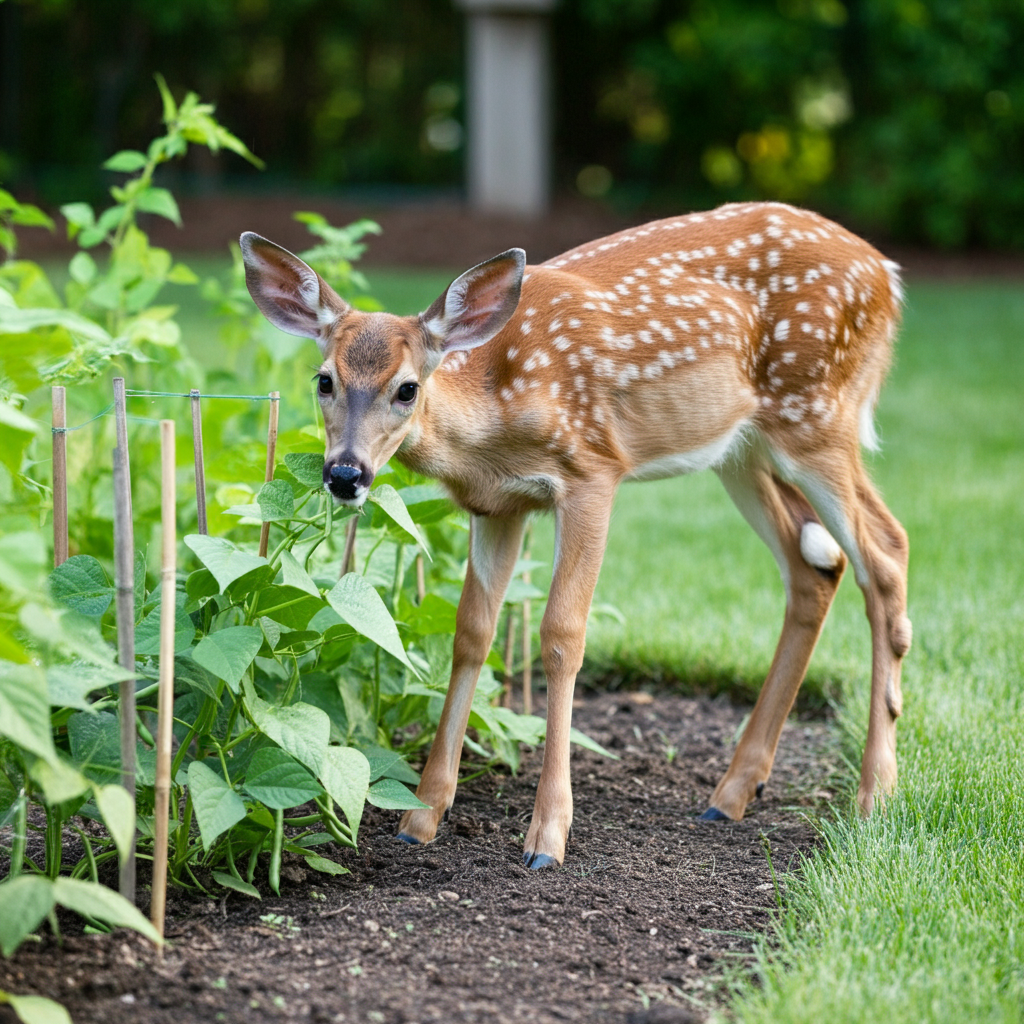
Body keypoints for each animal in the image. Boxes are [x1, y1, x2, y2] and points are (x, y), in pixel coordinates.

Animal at [239, 201, 913, 872]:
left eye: (407, 388)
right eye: (324, 380)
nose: (345, 474)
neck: (493, 414)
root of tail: (888, 273)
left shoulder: (593, 471)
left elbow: (562, 634)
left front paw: (547, 837)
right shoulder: (497, 507)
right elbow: (471, 634)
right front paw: (421, 817)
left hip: (818, 414)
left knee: (886, 550)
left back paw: (875, 794)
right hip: (742, 450)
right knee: (816, 566)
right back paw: (731, 795)